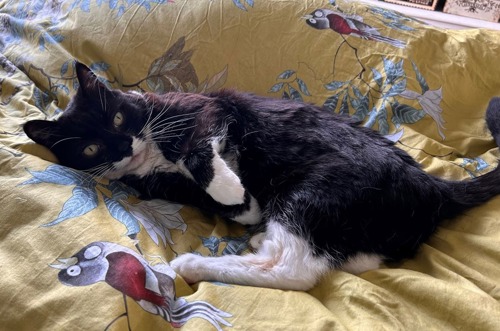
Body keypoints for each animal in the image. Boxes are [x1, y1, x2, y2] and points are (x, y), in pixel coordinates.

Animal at [23, 62, 500, 290]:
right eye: (90, 148)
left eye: (119, 117)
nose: (124, 146)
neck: (152, 153)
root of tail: (432, 186)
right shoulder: (160, 183)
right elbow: (205, 193)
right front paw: (243, 206)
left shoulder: (206, 110)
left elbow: (198, 146)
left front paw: (232, 189)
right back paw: (255, 238)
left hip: (318, 189)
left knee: (292, 271)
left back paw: (193, 262)